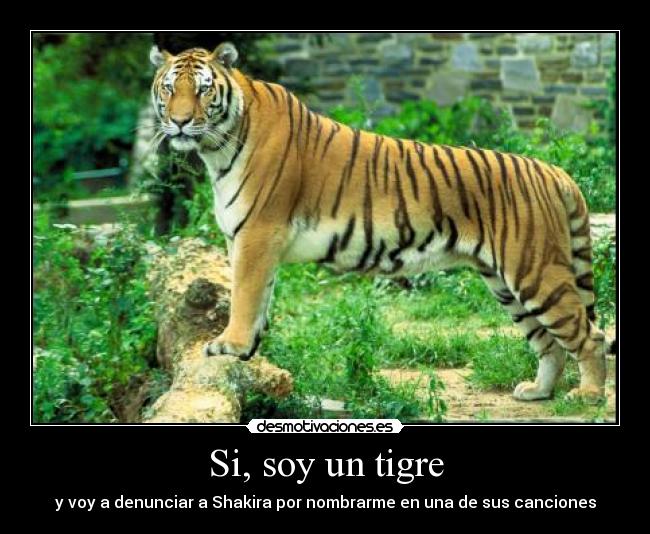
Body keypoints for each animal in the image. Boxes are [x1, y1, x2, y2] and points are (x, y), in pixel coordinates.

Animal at [149, 42, 615, 402]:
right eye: (170, 88)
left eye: (203, 90)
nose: (180, 121)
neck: (218, 147)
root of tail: (554, 172)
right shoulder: (248, 239)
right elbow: (259, 297)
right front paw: (249, 352)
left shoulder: (258, 233)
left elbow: (244, 295)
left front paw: (230, 345)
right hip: (505, 283)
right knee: (549, 343)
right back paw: (538, 392)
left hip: (536, 272)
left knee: (589, 336)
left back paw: (587, 395)